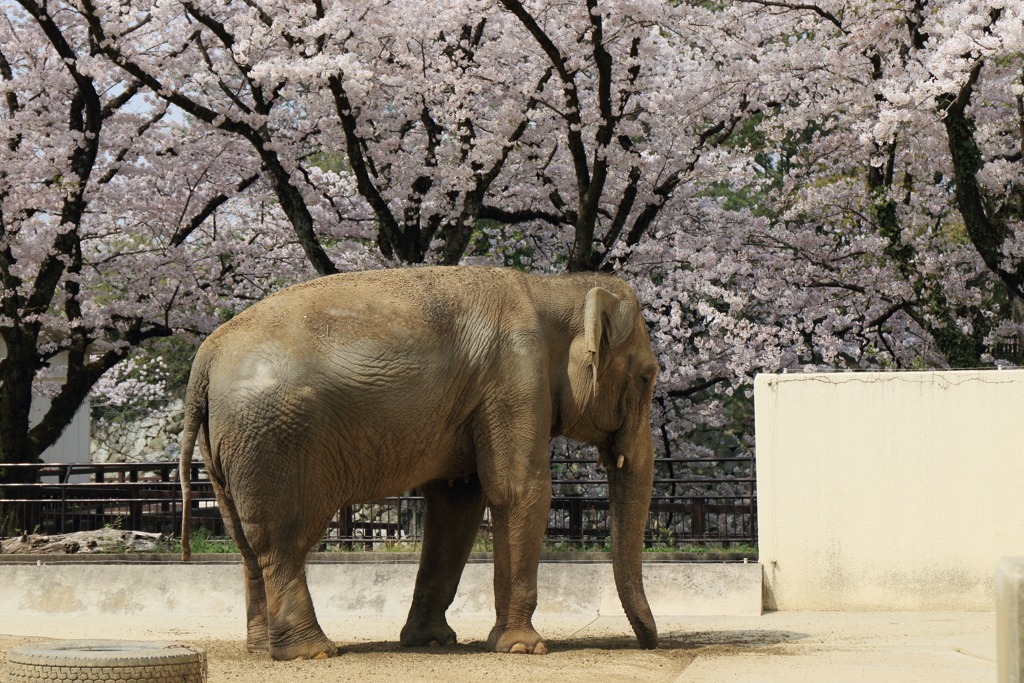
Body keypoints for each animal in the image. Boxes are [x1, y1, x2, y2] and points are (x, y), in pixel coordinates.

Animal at [177, 264, 659, 659]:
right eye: (647, 377)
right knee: (283, 542)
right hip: (275, 441)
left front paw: (431, 642)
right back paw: (310, 652)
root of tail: (206, 358)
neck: (551, 287)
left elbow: (457, 503)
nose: (650, 643)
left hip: (229, 449)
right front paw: (524, 648)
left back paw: (263, 649)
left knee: (245, 543)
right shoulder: (516, 377)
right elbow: (519, 490)